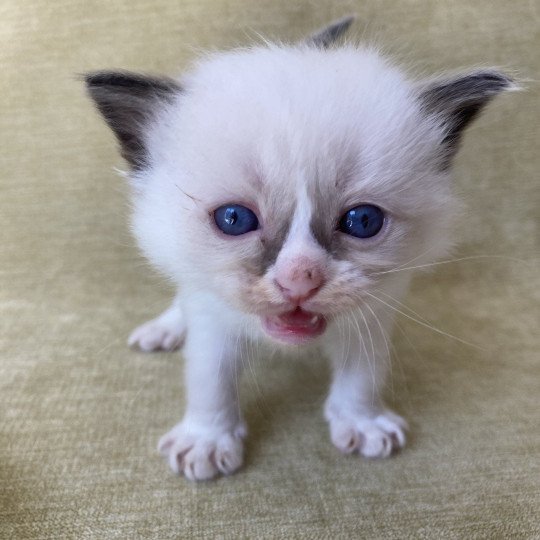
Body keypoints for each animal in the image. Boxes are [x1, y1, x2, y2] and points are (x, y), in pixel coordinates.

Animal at [84, 15, 516, 480]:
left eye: (363, 221)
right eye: (233, 219)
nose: (300, 279)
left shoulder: (374, 308)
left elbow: (362, 373)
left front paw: (361, 421)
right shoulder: (212, 314)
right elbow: (210, 379)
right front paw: (207, 440)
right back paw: (164, 329)